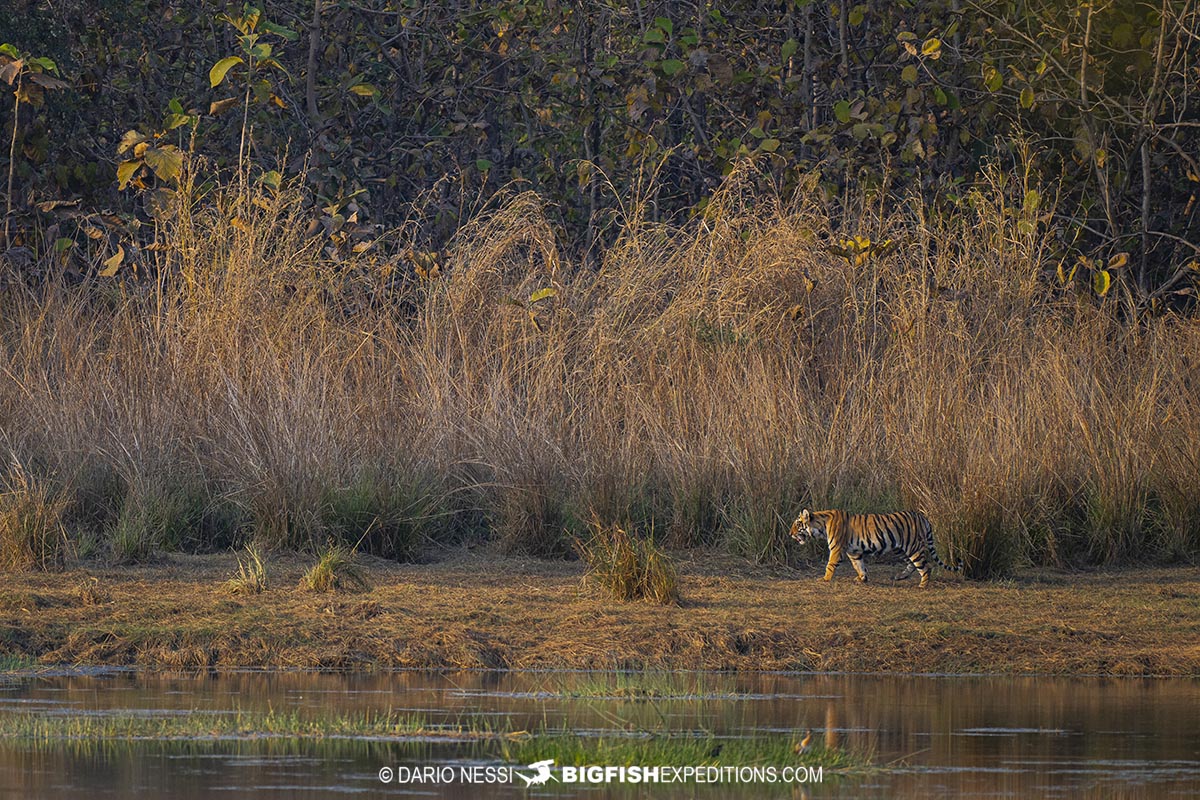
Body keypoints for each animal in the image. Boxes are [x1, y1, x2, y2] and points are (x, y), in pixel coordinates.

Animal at [787, 513, 964, 587]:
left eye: (797, 524)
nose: (790, 534)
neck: (821, 526)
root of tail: (923, 517)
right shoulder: (854, 552)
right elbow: (859, 566)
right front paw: (862, 579)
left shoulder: (836, 549)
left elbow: (830, 565)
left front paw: (824, 579)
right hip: (900, 548)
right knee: (912, 565)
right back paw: (900, 576)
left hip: (912, 546)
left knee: (926, 566)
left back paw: (922, 585)